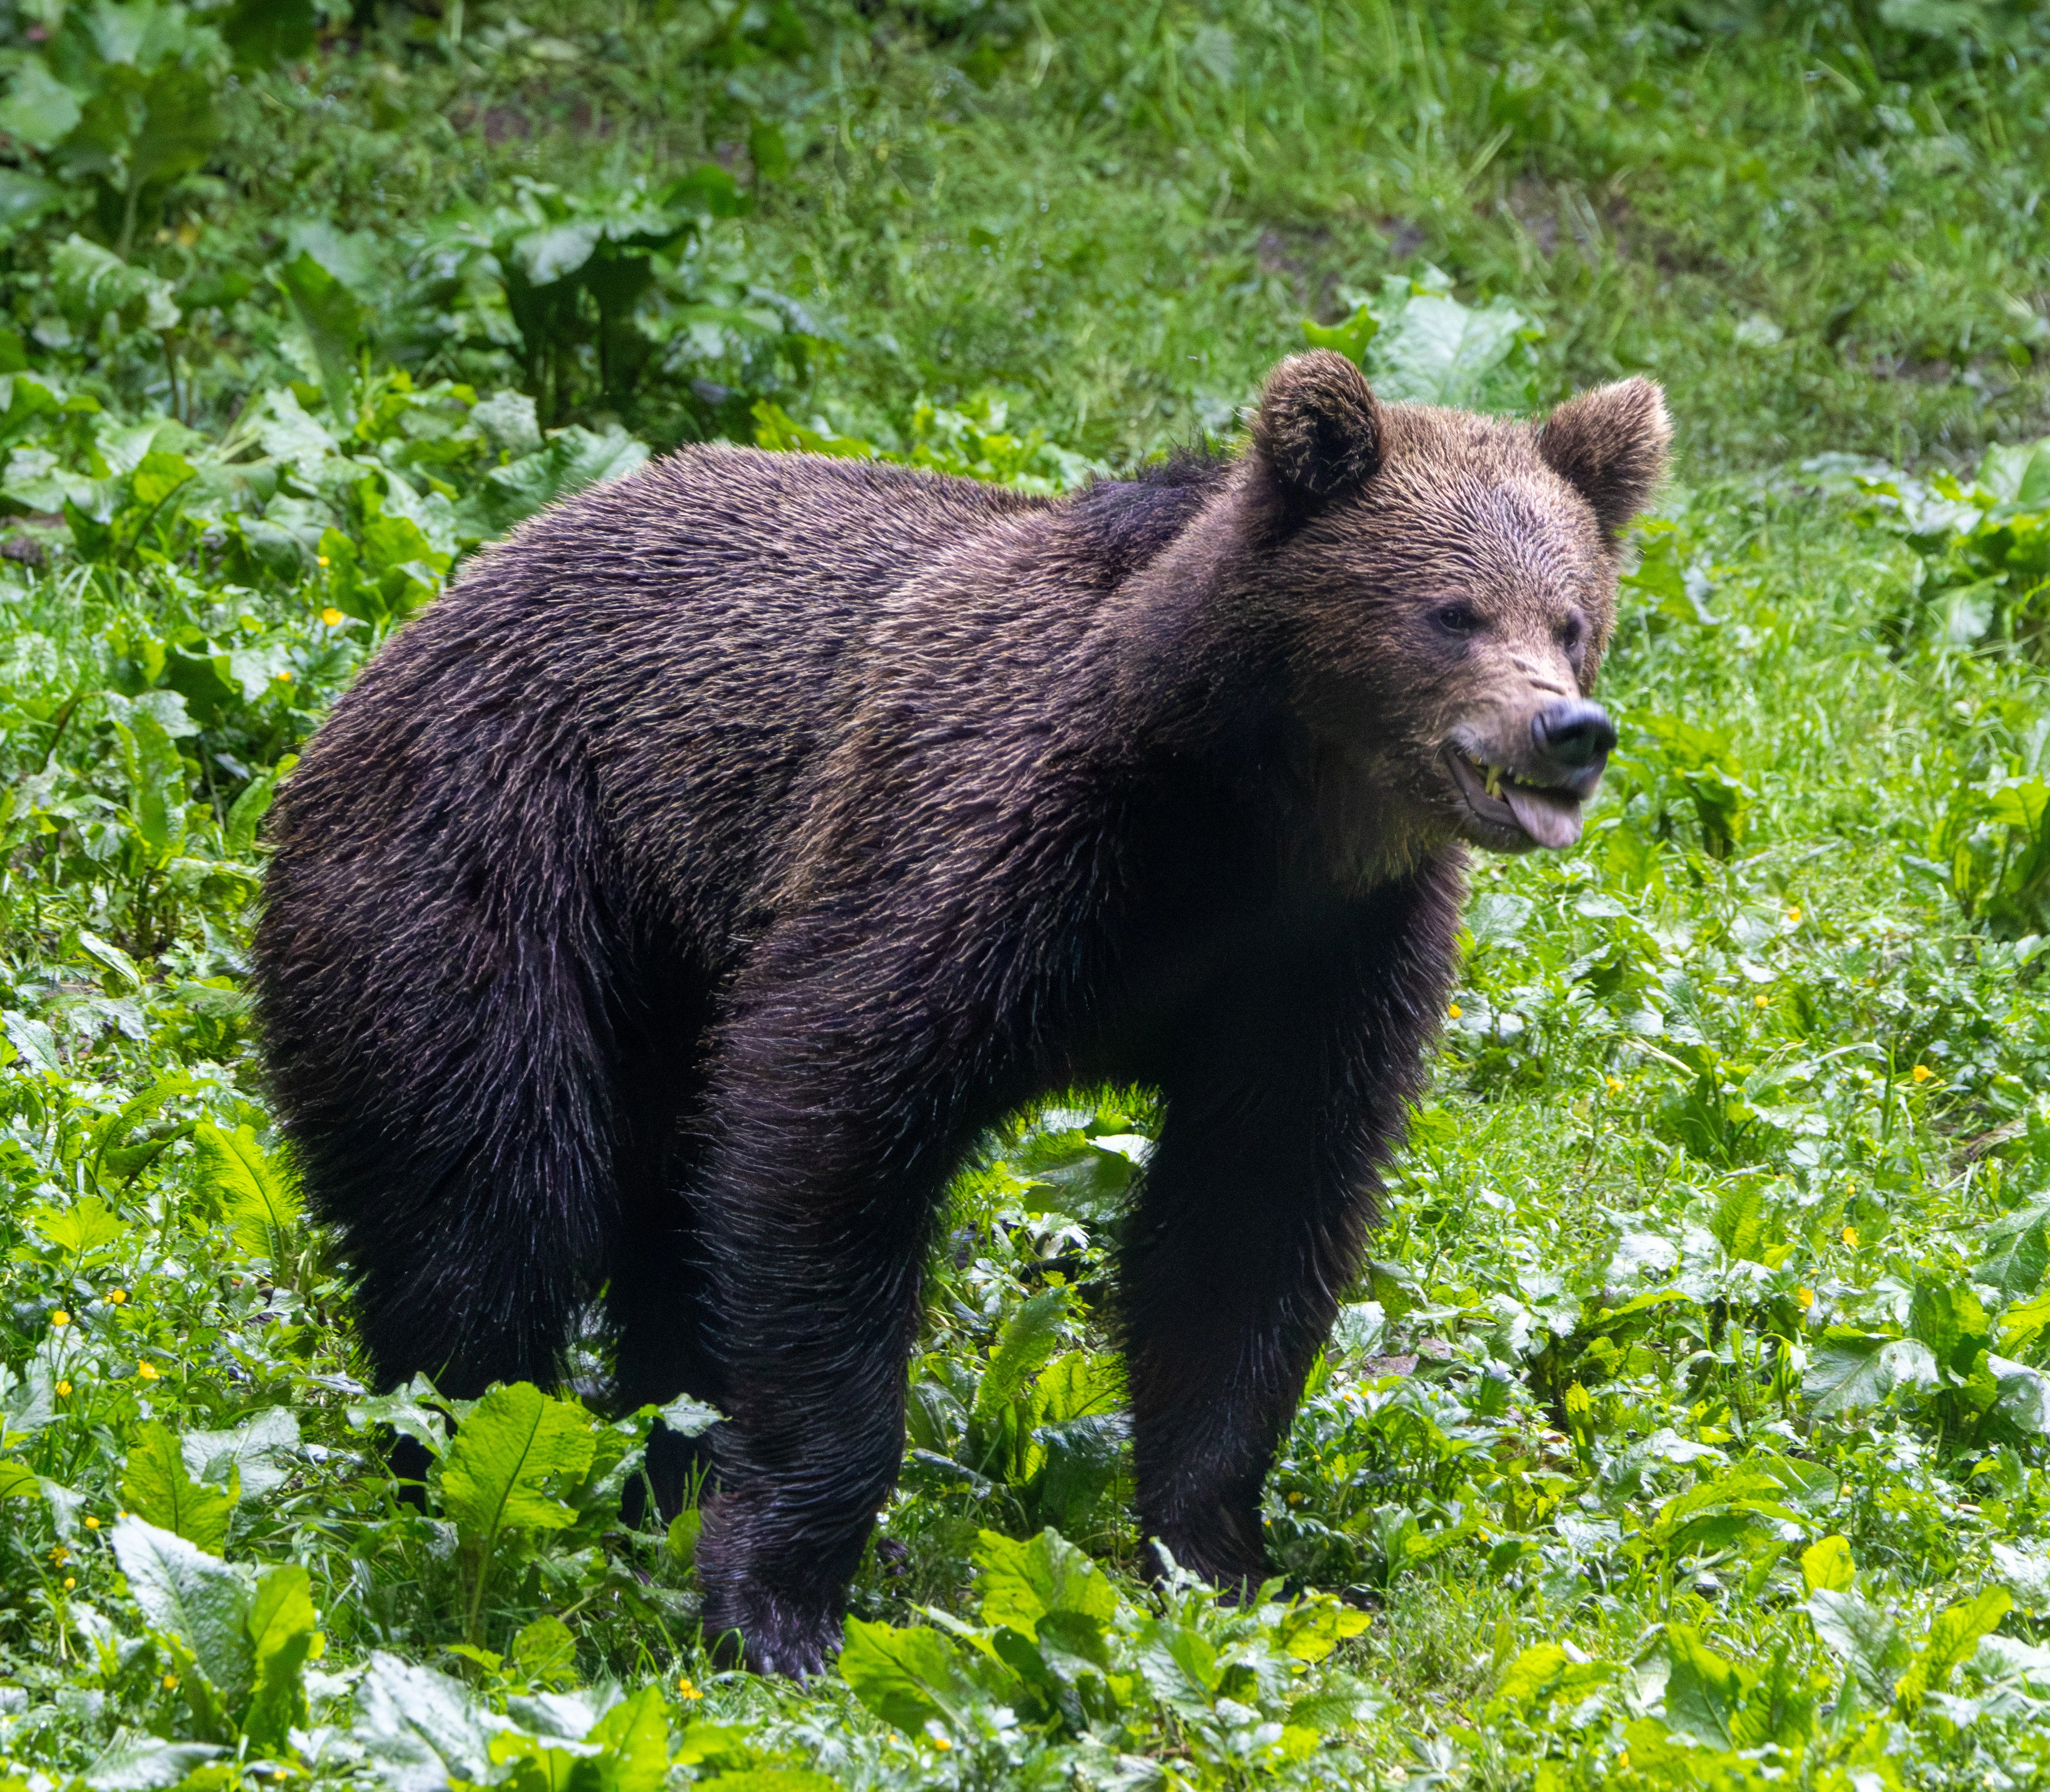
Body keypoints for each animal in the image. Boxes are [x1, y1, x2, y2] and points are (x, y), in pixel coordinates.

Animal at [251, 350, 1669, 1677]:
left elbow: (1244, 1233)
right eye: (1449, 610)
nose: (1565, 728)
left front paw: (1214, 1559)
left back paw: (656, 1469)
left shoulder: (1318, 960)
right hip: (504, 868)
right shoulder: (983, 842)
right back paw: (472, 1466)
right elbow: (827, 1123)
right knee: (493, 1195)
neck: (1236, 804)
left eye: (1572, 615)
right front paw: (782, 1598)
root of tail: (408, 629)